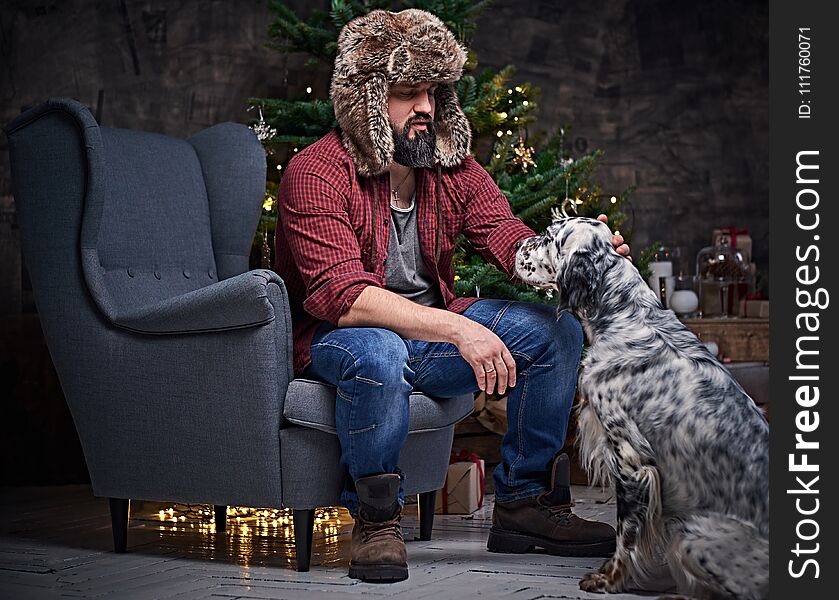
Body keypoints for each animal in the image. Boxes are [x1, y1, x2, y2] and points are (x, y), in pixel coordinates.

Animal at [512, 217, 768, 600]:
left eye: (548, 237)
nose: (518, 245)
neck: (625, 317)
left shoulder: (630, 458)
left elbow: (626, 531)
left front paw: (608, 580)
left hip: (692, 534)